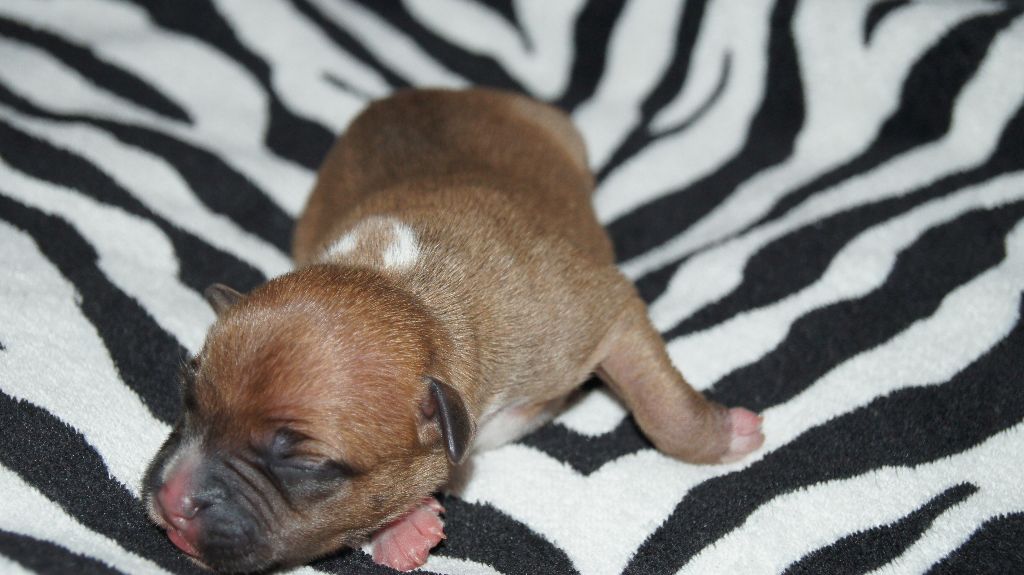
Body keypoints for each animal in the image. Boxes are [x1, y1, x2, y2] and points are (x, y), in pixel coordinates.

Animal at [143, 88, 764, 572]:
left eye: (306, 464)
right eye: (187, 399)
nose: (172, 502)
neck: (410, 292)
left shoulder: (603, 312)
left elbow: (660, 409)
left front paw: (723, 437)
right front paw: (402, 526)